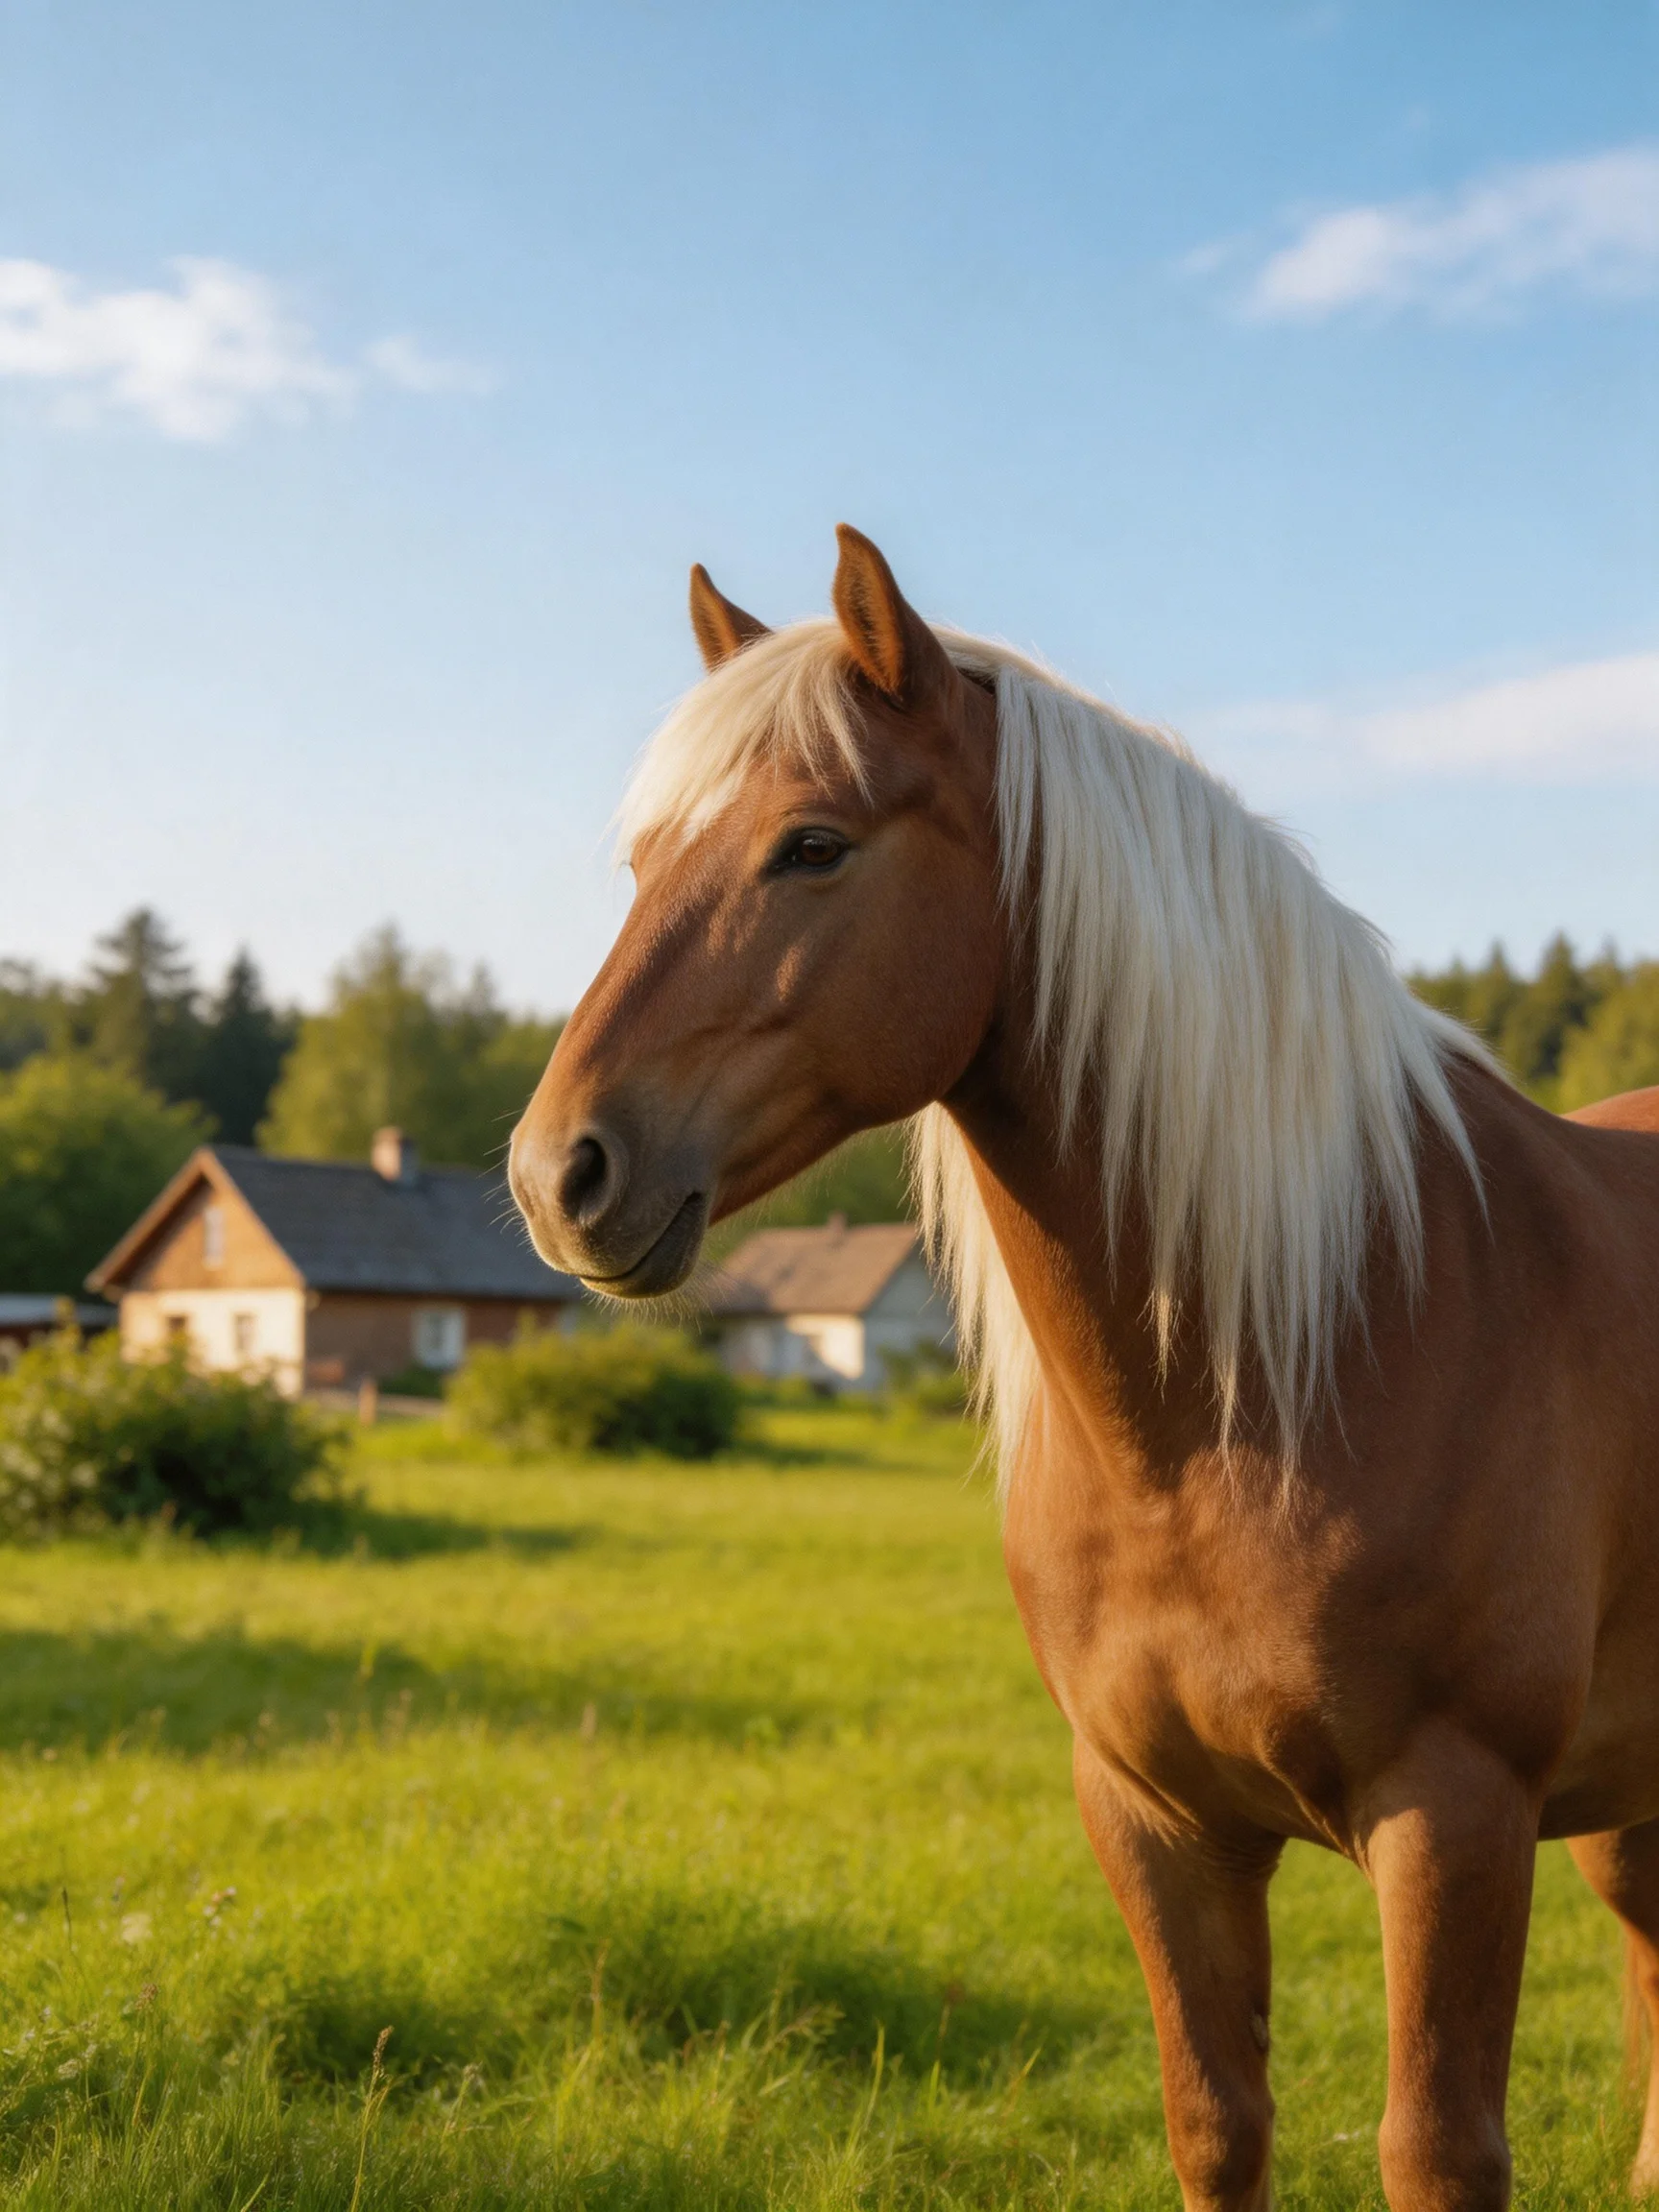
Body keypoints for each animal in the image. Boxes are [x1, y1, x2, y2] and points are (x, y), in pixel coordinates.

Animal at [509, 526, 1659, 2210]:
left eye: (812, 846)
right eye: (646, 863)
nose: (558, 1175)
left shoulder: (1456, 1817)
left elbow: (1436, 2150)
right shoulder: (1153, 1818)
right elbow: (1216, 2122)